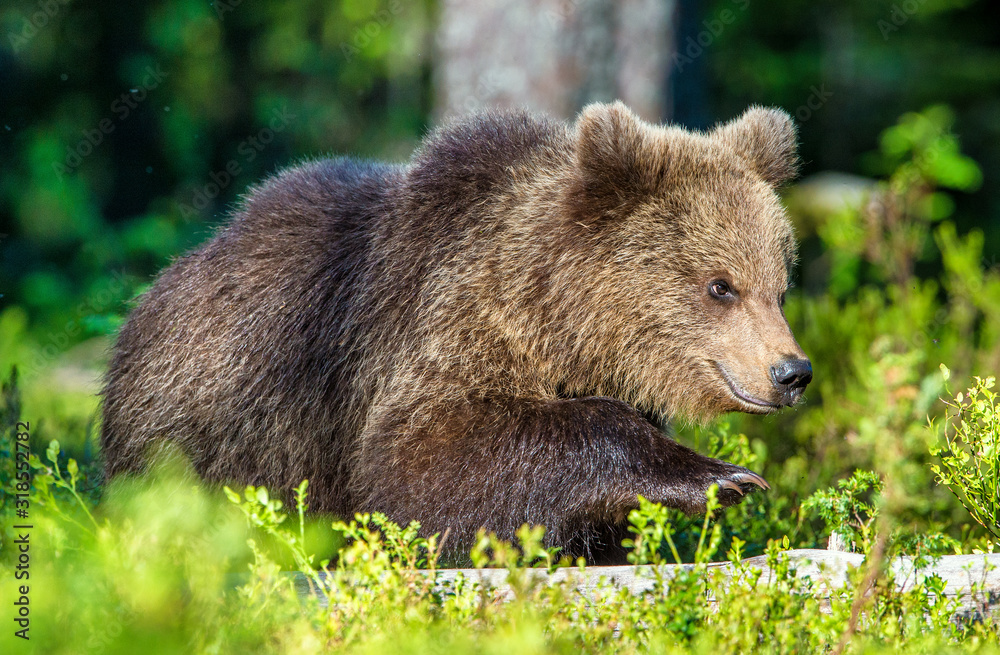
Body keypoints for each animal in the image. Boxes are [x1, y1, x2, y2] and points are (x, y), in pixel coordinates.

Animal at [100, 101, 812, 563]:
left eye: (780, 283)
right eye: (721, 285)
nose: (792, 372)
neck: (559, 326)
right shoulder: (430, 332)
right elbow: (423, 462)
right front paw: (722, 478)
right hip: (214, 427)